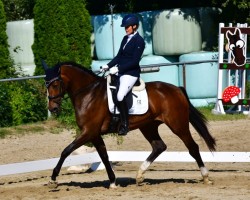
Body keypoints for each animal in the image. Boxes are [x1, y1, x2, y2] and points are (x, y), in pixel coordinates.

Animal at [42, 60, 216, 188]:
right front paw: (113, 182)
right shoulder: (94, 134)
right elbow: (104, 156)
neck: (88, 94)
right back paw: (140, 175)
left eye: (55, 84)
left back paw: (206, 177)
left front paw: (53, 179)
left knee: (192, 147)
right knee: (159, 146)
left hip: (178, 125)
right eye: (46, 84)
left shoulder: (88, 132)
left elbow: (66, 151)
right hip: (148, 126)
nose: (53, 108)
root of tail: (177, 89)